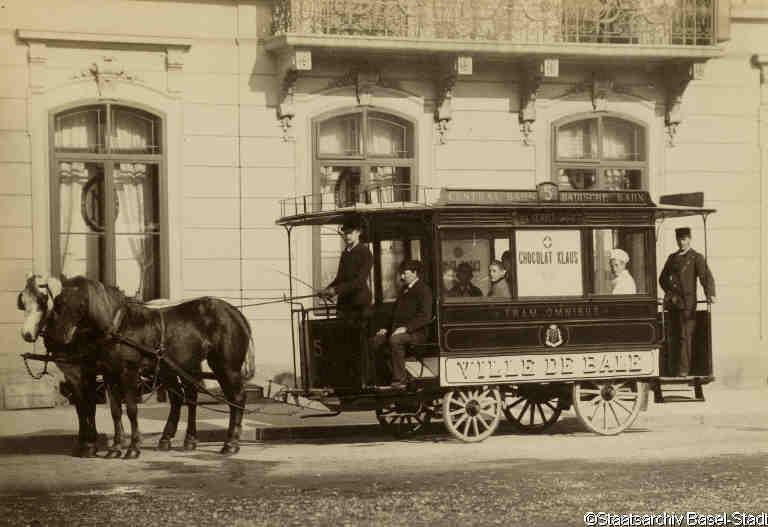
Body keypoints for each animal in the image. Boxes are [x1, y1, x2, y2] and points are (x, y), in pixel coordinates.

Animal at [17, 274, 119, 456]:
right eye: (23, 300)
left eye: (43, 300)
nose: (26, 334)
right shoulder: (71, 375)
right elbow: (81, 407)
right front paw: (83, 442)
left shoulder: (88, 372)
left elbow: (90, 405)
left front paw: (90, 443)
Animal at [45, 276, 255, 458]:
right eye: (58, 302)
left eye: (82, 303)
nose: (59, 336)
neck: (118, 326)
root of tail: (235, 313)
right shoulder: (109, 374)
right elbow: (115, 411)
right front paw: (115, 448)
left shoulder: (128, 372)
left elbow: (131, 409)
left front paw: (133, 448)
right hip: (181, 366)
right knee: (188, 397)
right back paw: (184, 440)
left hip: (225, 366)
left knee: (236, 398)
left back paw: (230, 443)